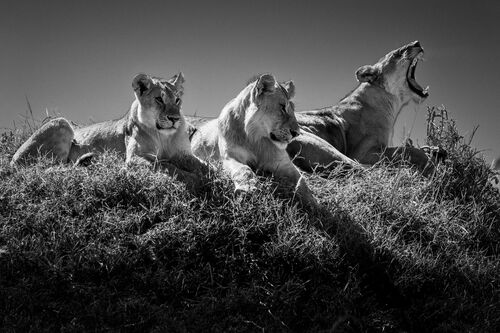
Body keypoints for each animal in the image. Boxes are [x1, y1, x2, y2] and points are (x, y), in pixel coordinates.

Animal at [11, 72, 207, 185]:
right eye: (159, 99)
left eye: (177, 100)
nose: (174, 118)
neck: (164, 135)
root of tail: (12, 161)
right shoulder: (134, 158)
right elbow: (168, 167)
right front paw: (194, 180)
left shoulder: (183, 154)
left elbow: (204, 165)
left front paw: (211, 176)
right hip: (60, 123)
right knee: (46, 169)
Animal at [189, 73, 318, 208]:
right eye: (282, 107)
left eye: (293, 109)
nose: (297, 133)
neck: (256, 139)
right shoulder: (230, 156)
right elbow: (244, 170)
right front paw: (249, 188)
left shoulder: (284, 163)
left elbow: (302, 181)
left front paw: (314, 204)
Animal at [288, 40, 436, 174]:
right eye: (397, 53)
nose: (417, 43)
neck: (391, 101)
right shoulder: (364, 153)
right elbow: (408, 150)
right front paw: (429, 163)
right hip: (320, 144)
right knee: (363, 169)